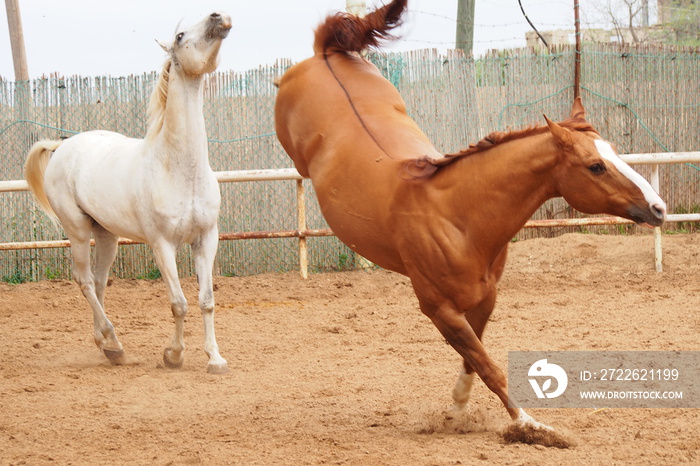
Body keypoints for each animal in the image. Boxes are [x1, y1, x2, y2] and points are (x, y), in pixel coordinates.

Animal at [25, 11, 232, 374]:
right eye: (180, 36)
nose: (218, 16)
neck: (179, 169)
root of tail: (62, 147)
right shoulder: (162, 245)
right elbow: (179, 303)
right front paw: (173, 355)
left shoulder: (206, 239)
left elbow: (206, 301)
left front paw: (215, 359)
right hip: (78, 232)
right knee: (84, 281)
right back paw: (114, 343)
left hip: (107, 237)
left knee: (98, 281)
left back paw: (106, 345)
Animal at [274, 0, 668, 440]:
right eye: (595, 166)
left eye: (612, 151)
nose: (658, 208)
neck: (456, 217)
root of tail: (325, 54)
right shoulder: (439, 309)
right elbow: (489, 366)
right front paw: (530, 426)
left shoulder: (484, 299)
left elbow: (474, 359)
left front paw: (458, 409)